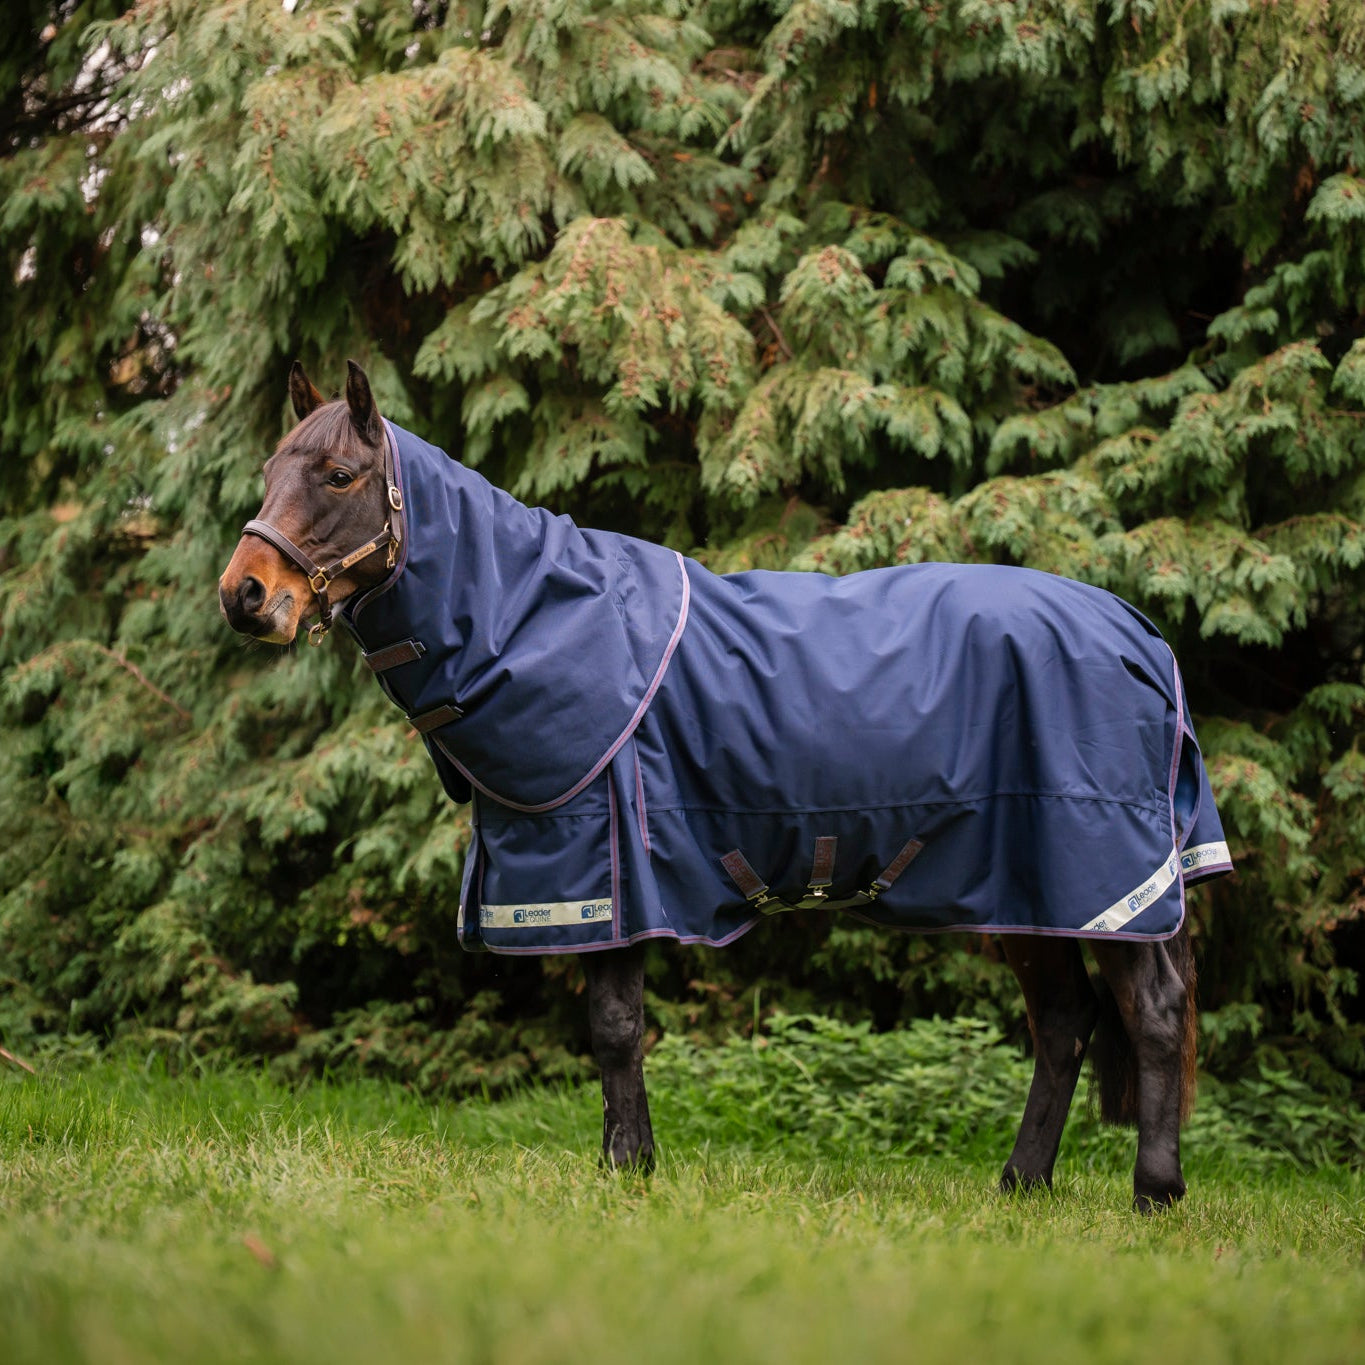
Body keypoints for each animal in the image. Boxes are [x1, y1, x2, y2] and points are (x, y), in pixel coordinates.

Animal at [220, 361, 1232, 1210]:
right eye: (270, 470)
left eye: (338, 476)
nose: (245, 595)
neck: (537, 620)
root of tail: (1140, 633)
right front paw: (624, 1163)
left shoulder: (605, 875)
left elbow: (615, 1026)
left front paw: (628, 1168)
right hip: (1028, 894)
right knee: (1064, 1023)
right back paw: (1022, 1182)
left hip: (1099, 873)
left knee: (1148, 1016)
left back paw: (1153, 1192)